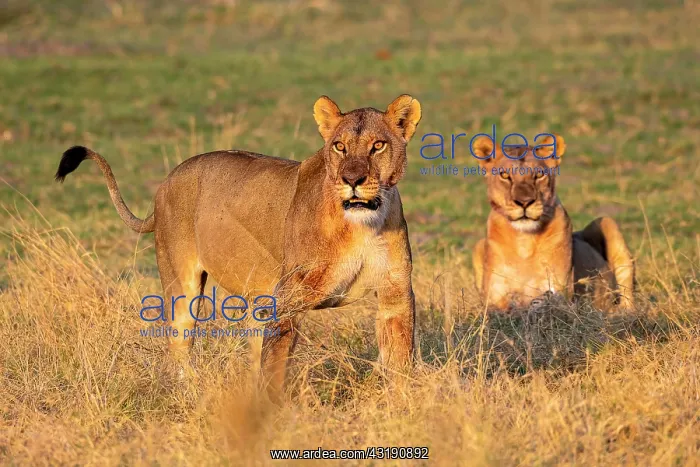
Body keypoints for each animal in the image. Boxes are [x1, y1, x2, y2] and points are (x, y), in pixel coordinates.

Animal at [55, 95, 422, 401]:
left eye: (378, 146)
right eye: (339, 147)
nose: (352, 180)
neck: (361, 225)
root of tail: (169, 178)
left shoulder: (396, 293)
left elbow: (399, 361)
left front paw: (401, 406)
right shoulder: (288, 298)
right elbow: (275, 365)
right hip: (182, 288)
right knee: (178, 347)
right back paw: (192, 394)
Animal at [470, 134, 635, 312]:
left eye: (539, 175)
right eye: (505, 176)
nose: (524, 202)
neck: (524, 242)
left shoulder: (560, 291)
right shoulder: (493, 298)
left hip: (607, 222)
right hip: (478, 245)